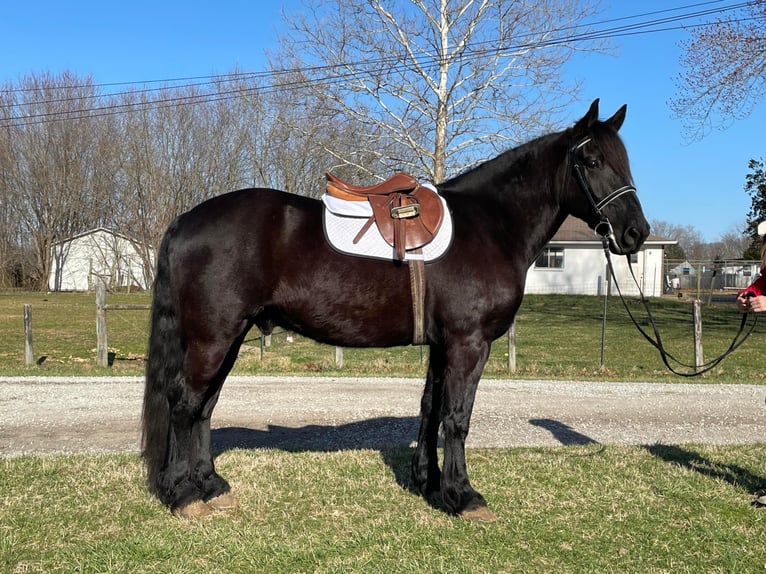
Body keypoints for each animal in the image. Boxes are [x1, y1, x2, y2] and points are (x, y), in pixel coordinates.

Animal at [142, 99, 648, 520]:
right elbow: (457, 417)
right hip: (213, 336)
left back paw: (210, 484)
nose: (636, 233)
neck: (489, 225)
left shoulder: (443, 344)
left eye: (624, 161)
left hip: (230, 335)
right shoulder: (469, 343)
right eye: (591, 161)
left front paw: (429, 483)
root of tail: (185, 220)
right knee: (184, 402)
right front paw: (464, 496)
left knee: (205, 406)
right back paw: (183, 494)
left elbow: (431, 408)